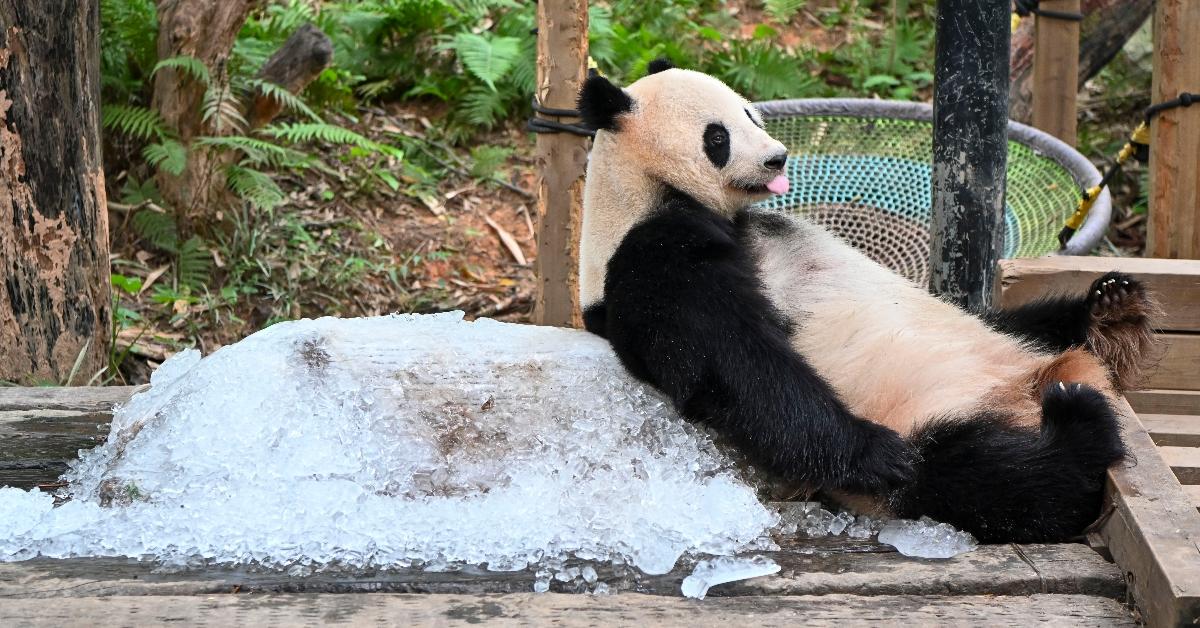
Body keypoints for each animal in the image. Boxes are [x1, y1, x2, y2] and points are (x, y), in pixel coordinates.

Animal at [576, 62, 1156, 545]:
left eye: (749, 112)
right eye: (716, 136)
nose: (776, 157)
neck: (643, 192)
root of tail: (1032, 385)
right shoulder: (648, 257)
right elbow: (731, 358)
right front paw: (872, 452)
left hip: (1008, 342)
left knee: (1025, 325)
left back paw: (1109, 313)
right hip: (926, 415)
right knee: (980, 476)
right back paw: (1077, 424)